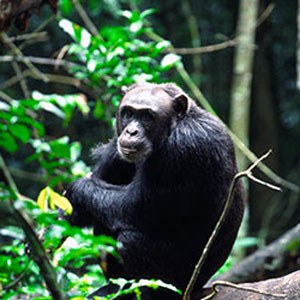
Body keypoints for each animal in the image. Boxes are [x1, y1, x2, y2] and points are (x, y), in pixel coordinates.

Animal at [63, 82, 244, 300]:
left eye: (147, 116)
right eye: (128, 113)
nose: (131, 132)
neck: (176, 125)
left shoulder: (182, 149)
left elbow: (133, 206)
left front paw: (75, 190)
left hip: (183, 281)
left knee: (129, 240)